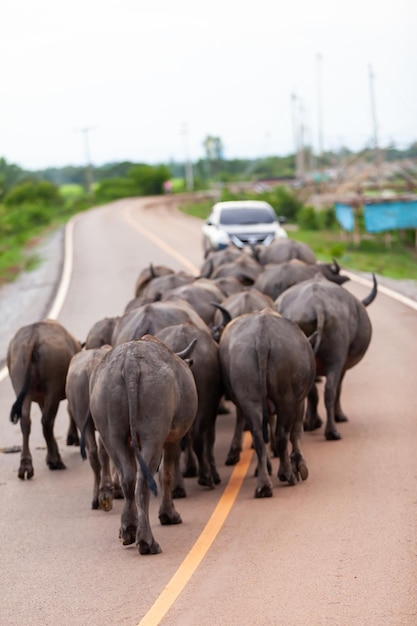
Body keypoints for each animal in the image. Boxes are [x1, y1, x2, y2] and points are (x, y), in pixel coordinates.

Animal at [7, 320, 81, 480]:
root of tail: (33, 337)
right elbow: (70, 410)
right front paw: (72, 437)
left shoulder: (41, 399)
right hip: (52, 389)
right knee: (47, 422)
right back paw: (55, 460)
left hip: (20, 384)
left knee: (26, 421)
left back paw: (26, 465)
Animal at [88, 334, 198, 552]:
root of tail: (130, 364)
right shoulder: (172, 439)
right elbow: (166, 474)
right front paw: (169, 515)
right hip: (152, 437)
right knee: (143, 481)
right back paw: (147, 541)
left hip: (112, 434)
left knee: (128, 478)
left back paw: (129, 530)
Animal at [218, 308, 316, 498]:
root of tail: (262, 339)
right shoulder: (299, 402)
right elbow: (296, 431)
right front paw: (300, 464)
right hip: (287, 399)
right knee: (282, 433)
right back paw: (287, 474)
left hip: (250, 398)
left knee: (258, 435)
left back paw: (263, 484)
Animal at [272, 272, 376, 438]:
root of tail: (318, 305)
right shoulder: (342, 366)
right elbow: (338, 388)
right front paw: (339, 416)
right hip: (336, 359)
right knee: (330, 390)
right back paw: (332, 431)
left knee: (313, 391)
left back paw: (312, 423)